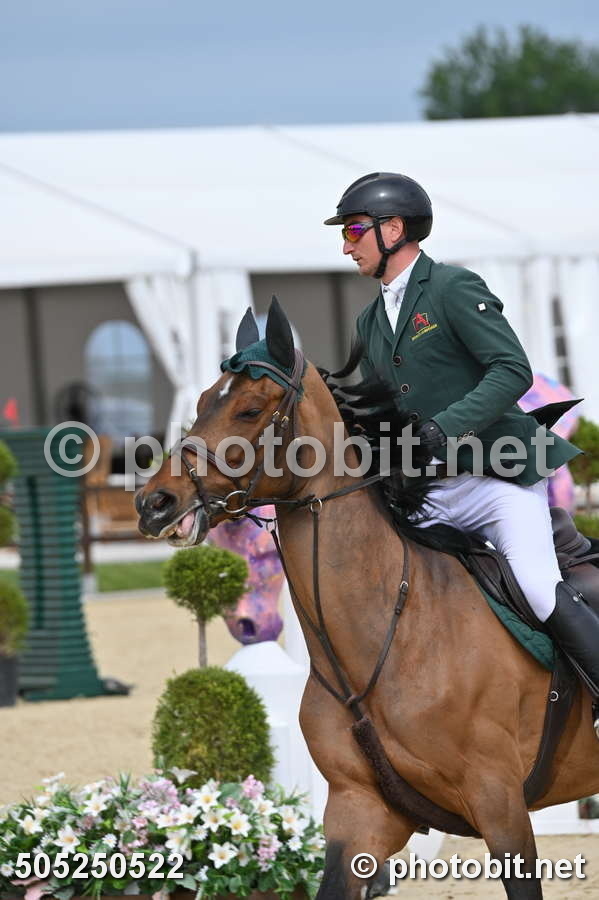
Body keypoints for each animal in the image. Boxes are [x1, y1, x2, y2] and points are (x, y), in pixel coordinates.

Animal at [136, 298, 599, 899]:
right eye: (198, 404)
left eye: (249, 409)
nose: (154, 503)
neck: (389, 632)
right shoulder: (359, 813)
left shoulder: (500, 805)